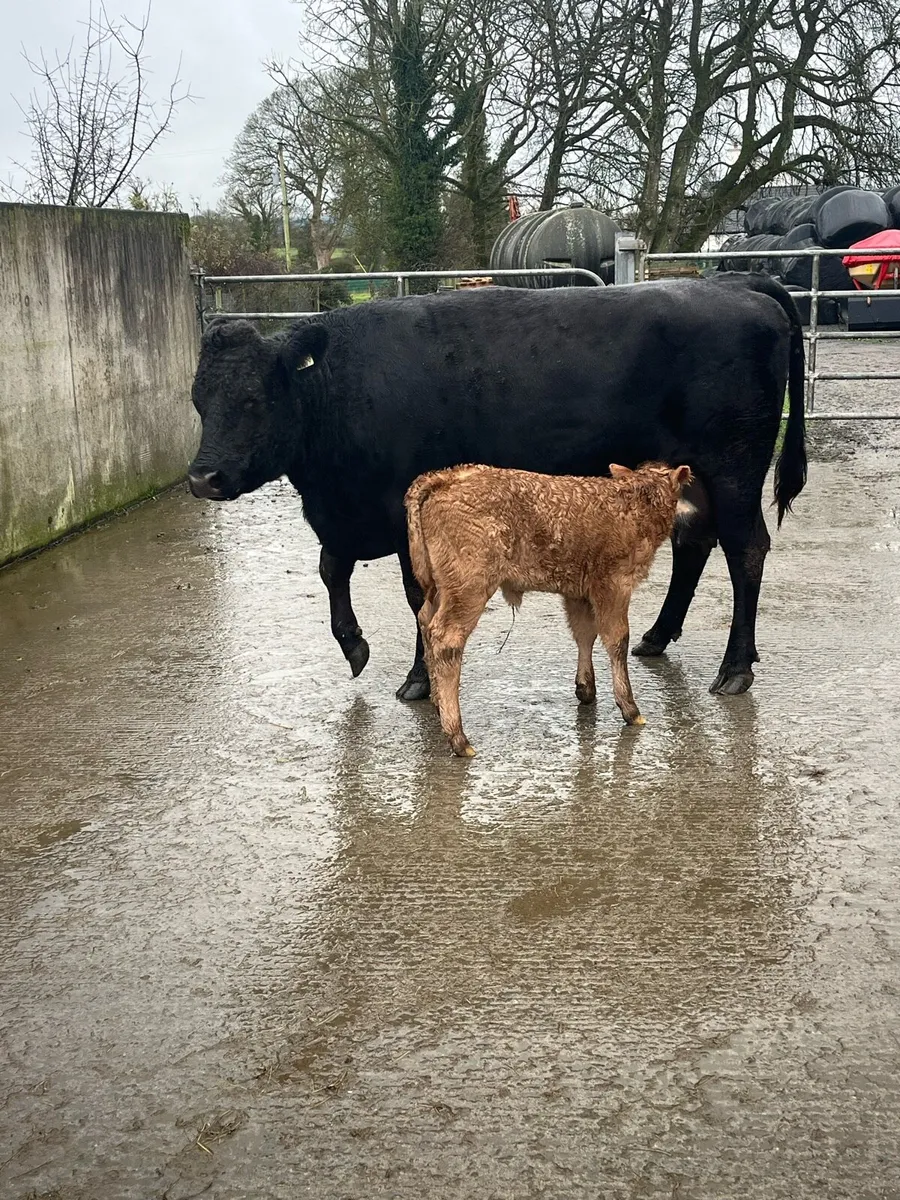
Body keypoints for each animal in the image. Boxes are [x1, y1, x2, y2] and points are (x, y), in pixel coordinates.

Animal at [187, 273, 807, 701]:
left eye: (254, 400)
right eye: (198, 400)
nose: (201, 477)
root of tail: (732, 283)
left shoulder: (401, 509)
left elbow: (416, 594)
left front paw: (419, 678)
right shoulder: (345, 514)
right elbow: (330, 569)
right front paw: (354, 645)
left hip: (733, 469)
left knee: (746, 550)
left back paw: (735, 668)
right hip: (693, 474)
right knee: (694, 544)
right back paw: (658, 636)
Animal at [405, 461, 694, 756]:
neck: (635, 503)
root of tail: (445, 477)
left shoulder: (579, 592)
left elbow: (584, 634)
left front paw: (586, 689)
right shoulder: (614, 585)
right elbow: (617, 640)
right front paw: (630, 708)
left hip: (440, 589)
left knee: (425, 621)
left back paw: (438, 703)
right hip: (468, 587)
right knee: (447, 639)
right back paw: (458, 737)